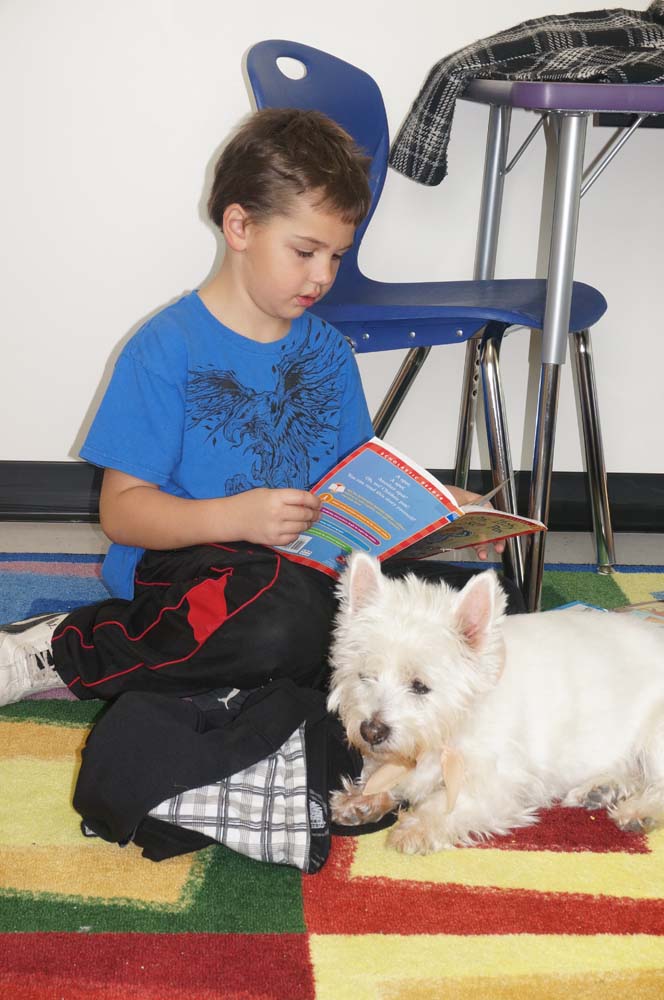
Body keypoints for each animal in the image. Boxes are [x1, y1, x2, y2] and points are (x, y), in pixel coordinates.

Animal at [330, 556, 664, 852]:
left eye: (420, 685)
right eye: (365, 675)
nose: (371, 731)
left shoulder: (504, 782)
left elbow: (452, 802)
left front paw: (415, 828)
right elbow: (388, 775)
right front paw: (362, 799)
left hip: (655, 735)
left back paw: (637, 812)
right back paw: (600, 790)